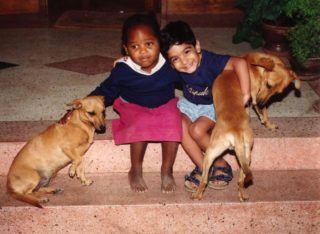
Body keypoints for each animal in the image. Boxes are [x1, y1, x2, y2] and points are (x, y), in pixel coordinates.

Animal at [191, 70, 254, 202]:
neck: (229, 73)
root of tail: (236, 132)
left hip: (209, 154)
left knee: (204, 180)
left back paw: (197, 196)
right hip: (246, 157)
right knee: (241, 181)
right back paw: (243, 195)